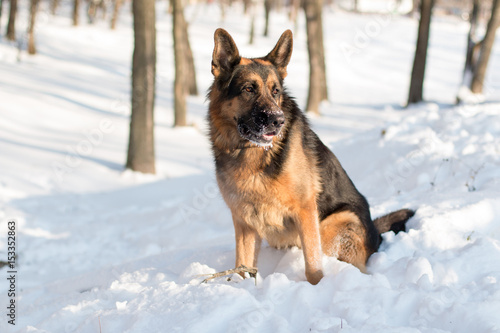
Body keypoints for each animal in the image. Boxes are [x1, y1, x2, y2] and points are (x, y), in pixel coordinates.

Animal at [207, 29, 414, 282]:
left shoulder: (305, 211)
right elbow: (241, 265)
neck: (251, 153)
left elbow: (312, 265)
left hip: (332, 225)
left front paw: (317, 285)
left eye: (276, 91)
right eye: (248, 89)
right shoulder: (244, 222)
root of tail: (375, 233)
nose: (278, 121)